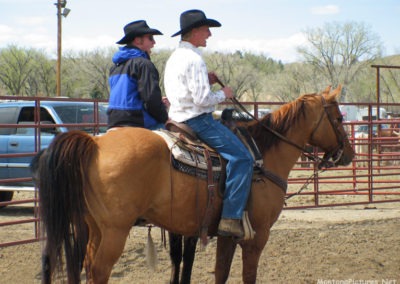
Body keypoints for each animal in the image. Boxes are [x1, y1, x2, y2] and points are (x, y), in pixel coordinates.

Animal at [34, 85, 354, 282]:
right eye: (339, 118)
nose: (348, 154)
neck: (264, 154)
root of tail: (95, 143)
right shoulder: (257, 235)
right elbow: (247, 275)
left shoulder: (227, 234)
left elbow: (220, 272)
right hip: (114, 231)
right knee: (99, 270)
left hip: (94, 227)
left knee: (88, 265)